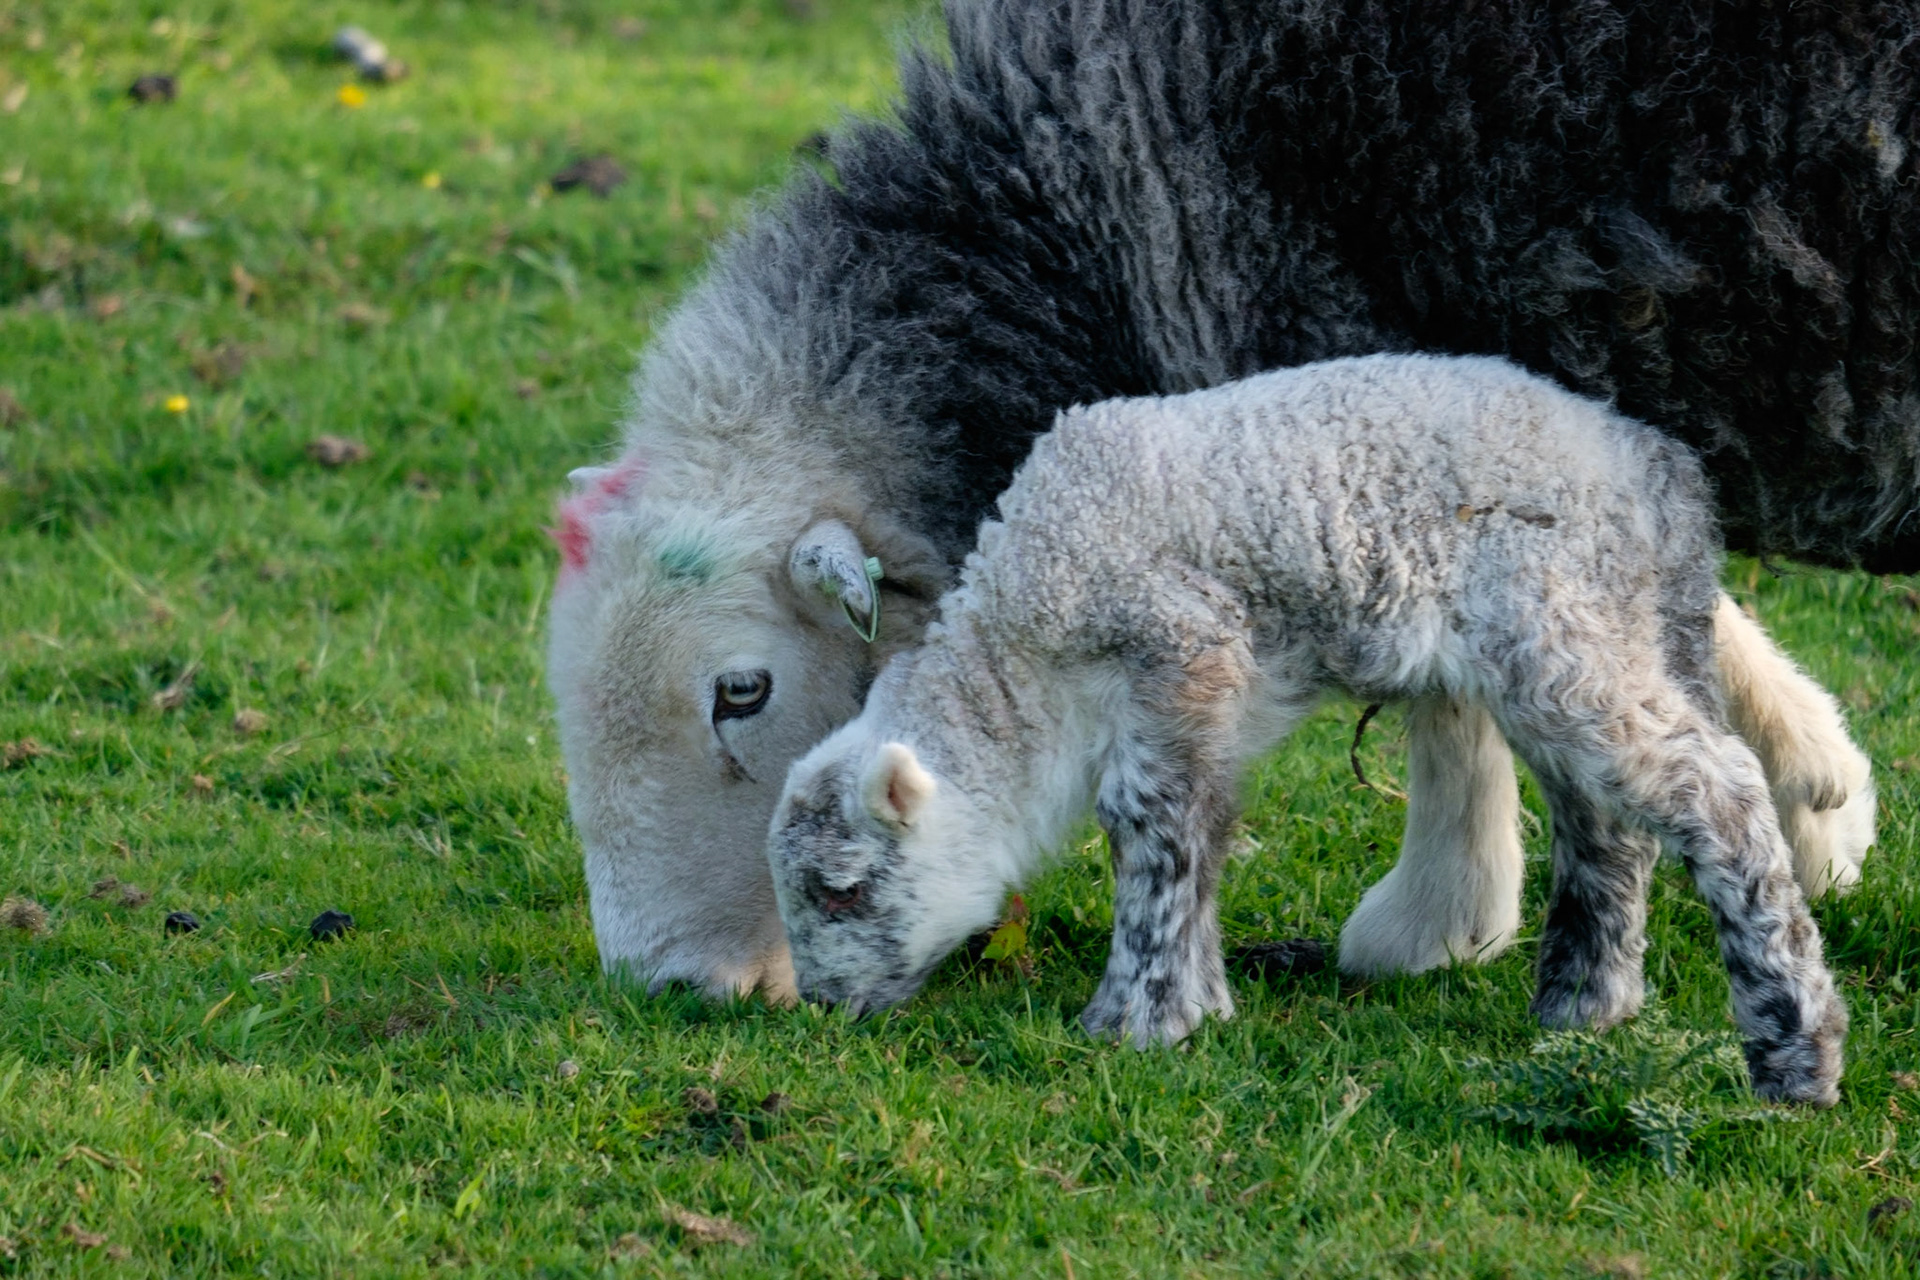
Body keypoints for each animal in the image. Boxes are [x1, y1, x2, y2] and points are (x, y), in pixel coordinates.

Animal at [552, 0, 1902, 1000]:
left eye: (742, 690)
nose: (668, 983)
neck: (1097, 196)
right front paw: (1817, 785)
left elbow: (1453, 692)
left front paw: (1437, 916)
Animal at [768, 354, 1849, 1106]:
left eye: (843, 888)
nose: (821, 1008)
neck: (1026, 665)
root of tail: (1662, 479)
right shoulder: (1205, 706)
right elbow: (1200, 836)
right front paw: (1198, 1001)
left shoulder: (1178, 646)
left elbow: (1149, 831)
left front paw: (1135, 1018)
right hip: (1581, 635)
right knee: (1607, 821)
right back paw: (1585, 1006)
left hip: (1558, 613)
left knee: (1717, 788)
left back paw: (1793, 1050)